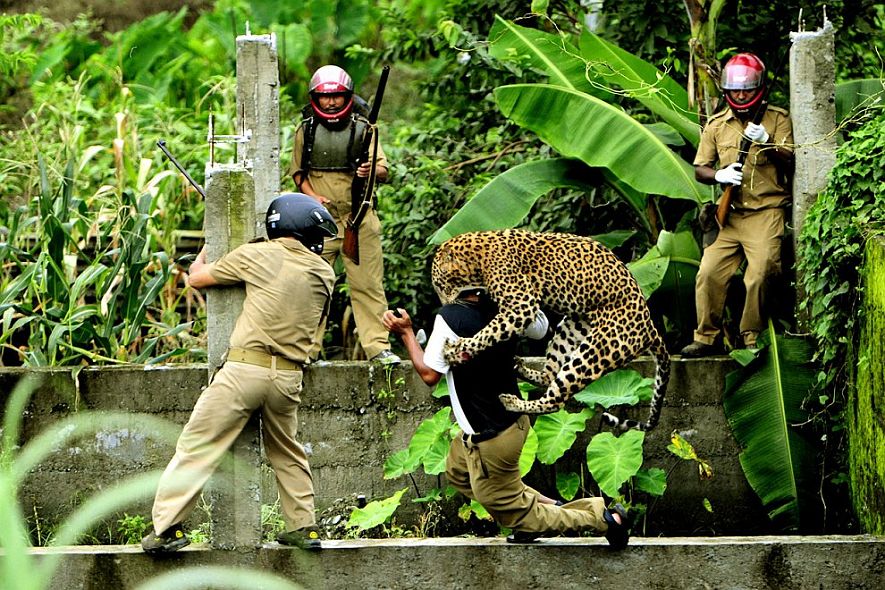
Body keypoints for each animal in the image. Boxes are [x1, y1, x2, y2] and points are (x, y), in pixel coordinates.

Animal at [430, 229, 668, 432]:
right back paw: (520, 368)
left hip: (594, 351)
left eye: (439, 285)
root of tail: (650, 328)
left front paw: (455, 350)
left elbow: (488, 333)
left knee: (556, 401)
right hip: (570, 329)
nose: (443, 305)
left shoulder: (521, 306)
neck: (477, 258)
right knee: (549, 375)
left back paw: (512, 402)